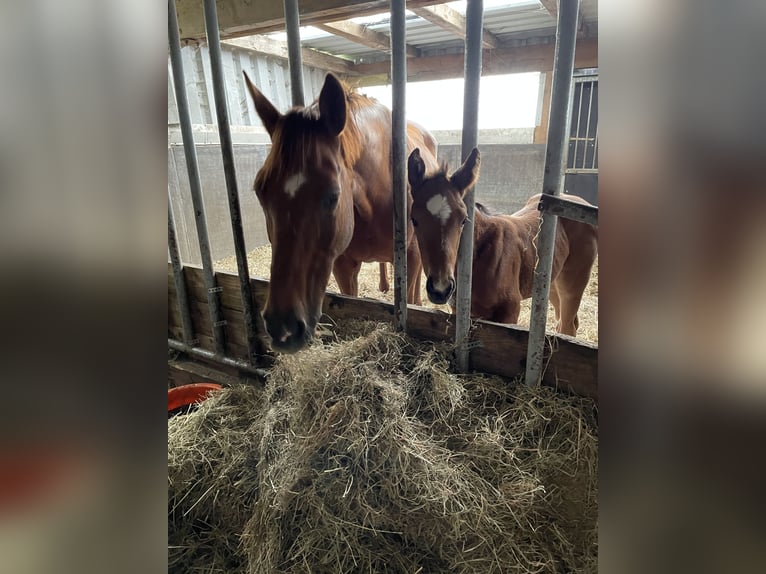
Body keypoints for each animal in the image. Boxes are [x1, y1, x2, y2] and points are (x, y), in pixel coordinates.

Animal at [244, 72, 439, 352]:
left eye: (333, 195)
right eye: (260, 191)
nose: (283, 328)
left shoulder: (411, 258)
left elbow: (412, 302)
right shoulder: (343, 266)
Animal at [407, 147, 598, 336]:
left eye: (463, 220)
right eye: (414, 220)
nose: (440, 289)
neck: (483, 254)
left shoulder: (510, 311)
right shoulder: (460, 309)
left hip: (573, 282)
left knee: (568, 325)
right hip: (550, 282)